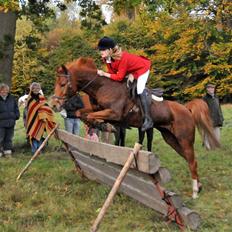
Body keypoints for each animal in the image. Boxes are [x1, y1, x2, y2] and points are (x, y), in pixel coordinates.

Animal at [51, 57, 219, 198]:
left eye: (63, 84)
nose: (54, 105)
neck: (102, 87)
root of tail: (186, 109)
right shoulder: (97, 110)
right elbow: (81, 113)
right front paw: (98, 125)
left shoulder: (115, 114)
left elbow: (92, 117)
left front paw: (104, 126)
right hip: (171, 138)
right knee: (190, 159)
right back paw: (199, 186)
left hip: (184, 139)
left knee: (192, 161)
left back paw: (195, 192)